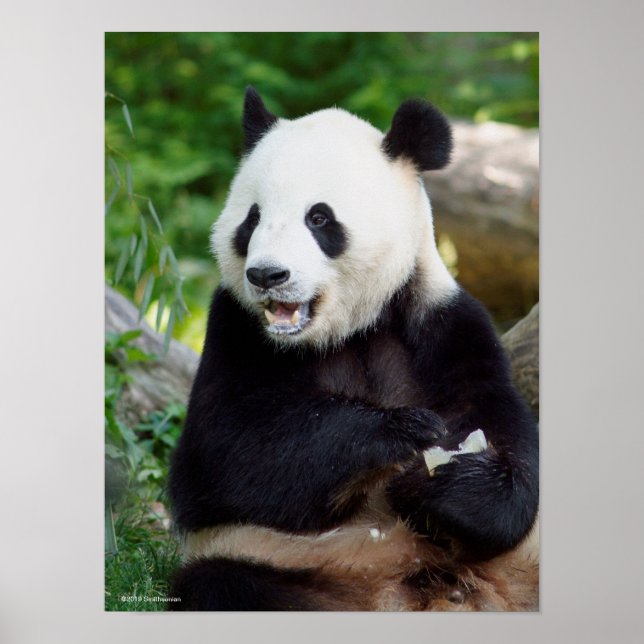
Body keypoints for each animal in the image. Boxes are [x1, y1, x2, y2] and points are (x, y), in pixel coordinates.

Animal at [168, 87, 539, 611]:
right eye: (252, 219)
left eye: (319, 218)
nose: (266, 275)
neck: (350, 329)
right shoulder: (235, 329)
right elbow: (226, 455)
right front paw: (402, 431)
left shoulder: (445, 322)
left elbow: (504, 433)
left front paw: (443, 485)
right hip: (281, 561)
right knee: (221, 583)